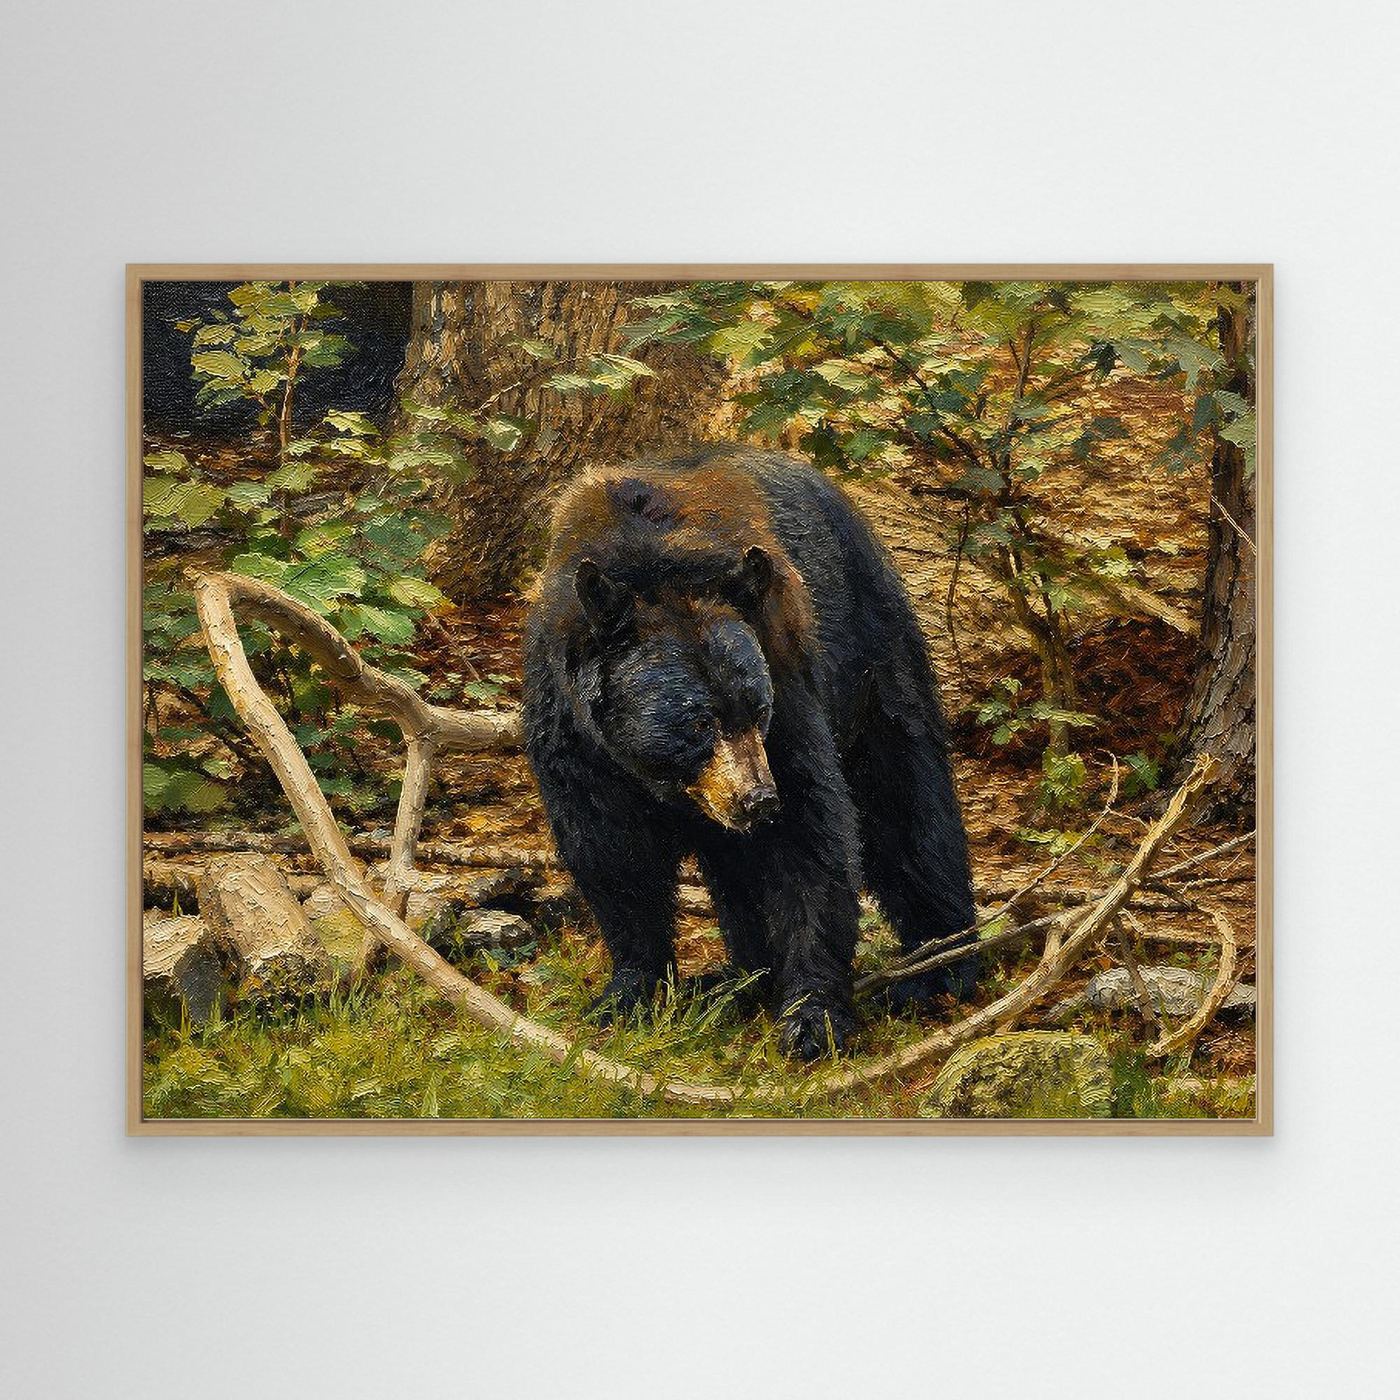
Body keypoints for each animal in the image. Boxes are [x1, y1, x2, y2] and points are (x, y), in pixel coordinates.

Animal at [522, 444, 977, 1060]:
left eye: (756, 709)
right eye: (698, 721)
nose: (758, 799)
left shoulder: (786, 682)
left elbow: (810, 836)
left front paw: (813, 1015)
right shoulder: (573, 736)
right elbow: (611, 854)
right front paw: (630, 992)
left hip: (871, 650)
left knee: (907, 798)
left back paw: (941, 965)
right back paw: (740, 980)